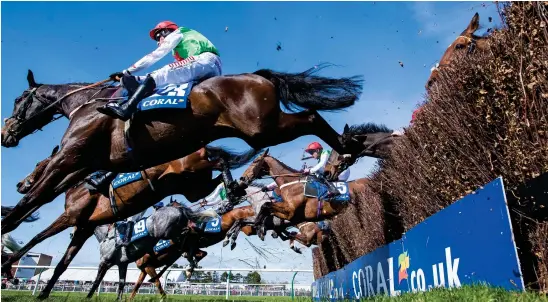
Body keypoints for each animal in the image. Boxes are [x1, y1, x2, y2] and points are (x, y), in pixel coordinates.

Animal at [1, 145, 258, 298]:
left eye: (39, 164)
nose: (20, 184)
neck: (79, 185)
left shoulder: (71, 217)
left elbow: (36, 238)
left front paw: (8, 264)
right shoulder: (85, 226)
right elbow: (63, 264)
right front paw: (43, 293)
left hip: (194, 170)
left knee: (220, 160)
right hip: (194, 185)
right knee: (215, 176)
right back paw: (233, 190)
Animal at [239, 149, 368, 241]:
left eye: (255, 161)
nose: (242, 178)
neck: (290, 183)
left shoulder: (291, 213)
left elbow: (266, 206)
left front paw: (258, 226)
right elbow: (265, 207)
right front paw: (258, 226)